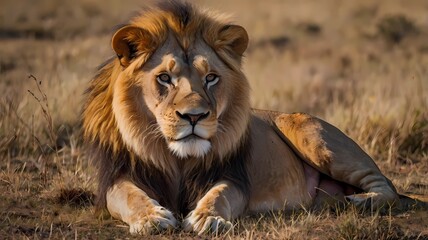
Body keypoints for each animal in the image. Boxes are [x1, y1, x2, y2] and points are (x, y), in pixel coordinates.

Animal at [83, 0, 402, 235]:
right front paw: (151, 218)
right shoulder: (117, 176)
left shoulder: (233, 177)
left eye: (211, 77)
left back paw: (362, 201)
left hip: (313, 137)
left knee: (388, 186)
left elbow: (219, 194)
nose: (194, 117)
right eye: (164, 78)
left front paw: (208, 218)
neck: (177, 159)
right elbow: (129, 196)